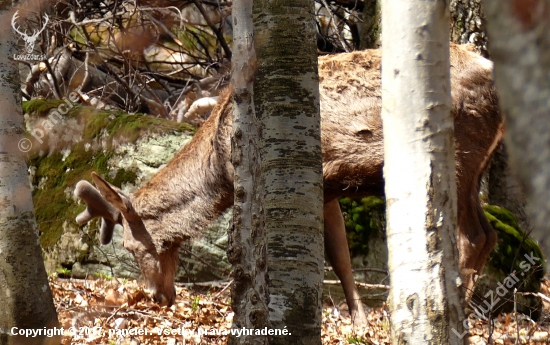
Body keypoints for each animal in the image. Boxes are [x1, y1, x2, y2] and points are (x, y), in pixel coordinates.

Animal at [75, 41, 506, 324]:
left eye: (131, 247)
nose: (157, 296)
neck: (218, 162)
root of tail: (490, 71)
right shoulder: (328, 185)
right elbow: (341, 255)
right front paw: (360, 322)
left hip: (459, 150)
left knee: (472, 236)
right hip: (477, 164)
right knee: (489, 233)